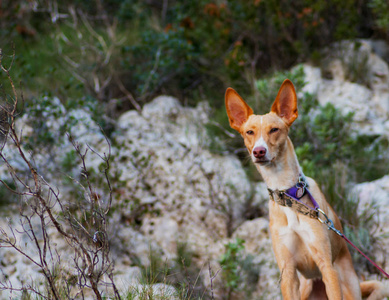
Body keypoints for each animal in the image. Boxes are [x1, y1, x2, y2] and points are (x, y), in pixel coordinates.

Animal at [224, 78, 388, 298]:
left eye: (274, 130)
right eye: (249, 132)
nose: (259, 151)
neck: (289, 195)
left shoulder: (327, 267)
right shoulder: (288, 273)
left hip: (348, 286)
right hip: (304, 287)